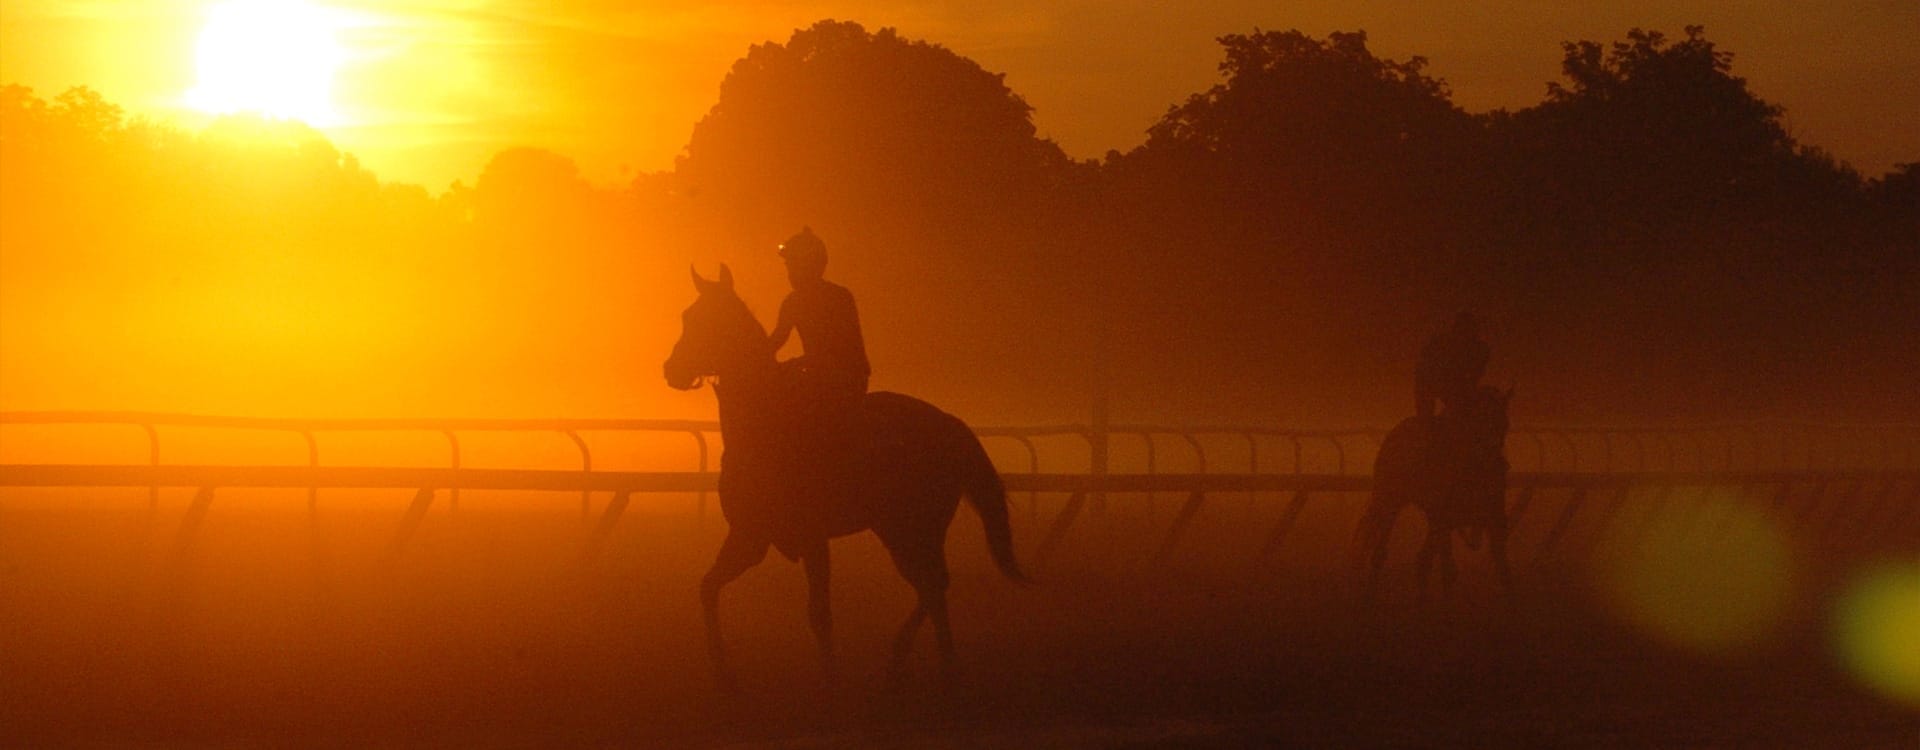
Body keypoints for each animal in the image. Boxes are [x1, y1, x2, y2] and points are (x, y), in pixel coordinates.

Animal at [660, 264, 1029, 694]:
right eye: (687, 316)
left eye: (708, 320)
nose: (672, 370)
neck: (767, 425)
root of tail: (949, 424)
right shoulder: (750, 536)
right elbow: (708, 586)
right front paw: (722, 667)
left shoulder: (812, 539)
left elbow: (819, 612)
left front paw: (831, 677)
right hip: (896, 530)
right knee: (931, 585)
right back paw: (916, 659)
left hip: (918, 528)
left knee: (934, 583)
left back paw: (935, 660)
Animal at [1351, 385, 1512, 602]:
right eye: (1476, 424)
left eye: (1504, 424)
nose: (1493, 460)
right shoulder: (1444, 521)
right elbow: (1448, 570)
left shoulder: (1492, 522)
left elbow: (1503, 570)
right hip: (1390, 503)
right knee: (1379, 553)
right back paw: (1369, 598)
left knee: (1422, 559)